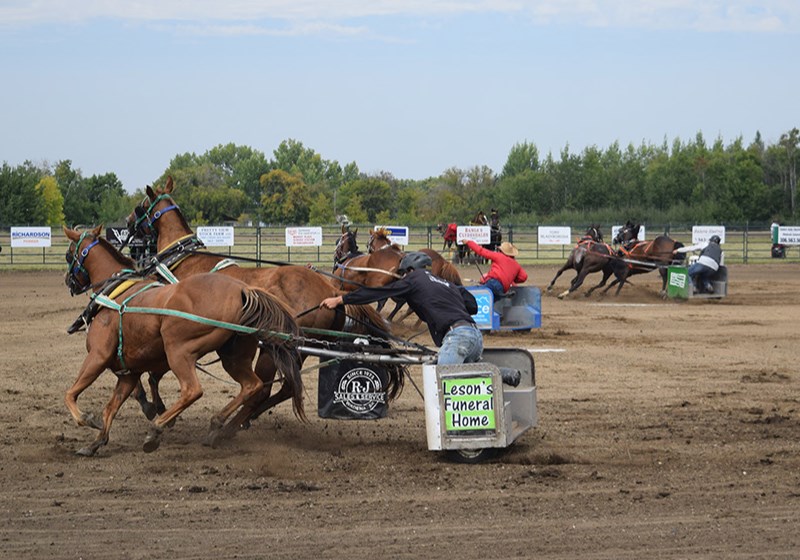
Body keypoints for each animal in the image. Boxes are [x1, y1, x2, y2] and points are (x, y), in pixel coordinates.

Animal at [62, 225, 304, 458]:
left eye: (68, 255)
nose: (68, 281)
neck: (115, 294)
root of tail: (242, 289)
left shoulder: (97, 357)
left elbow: (70, 394)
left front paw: (87, 419)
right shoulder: (129, 374)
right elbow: (111, 407)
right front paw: (95, 444)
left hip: (178, 351)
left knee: (192, 390)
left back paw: (156, 429)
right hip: (232, 357)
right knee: (252, 386)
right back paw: (216, 425)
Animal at [130, 177, 406, 430]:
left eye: (141, 206)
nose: (128, 223)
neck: (184, 261)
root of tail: (330, 290)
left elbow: (152, 371)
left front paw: (151, 405)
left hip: (276, 348)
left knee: (263, 388)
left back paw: (229, 426)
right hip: (297, 349)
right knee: (281, 389)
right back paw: (243, 420)